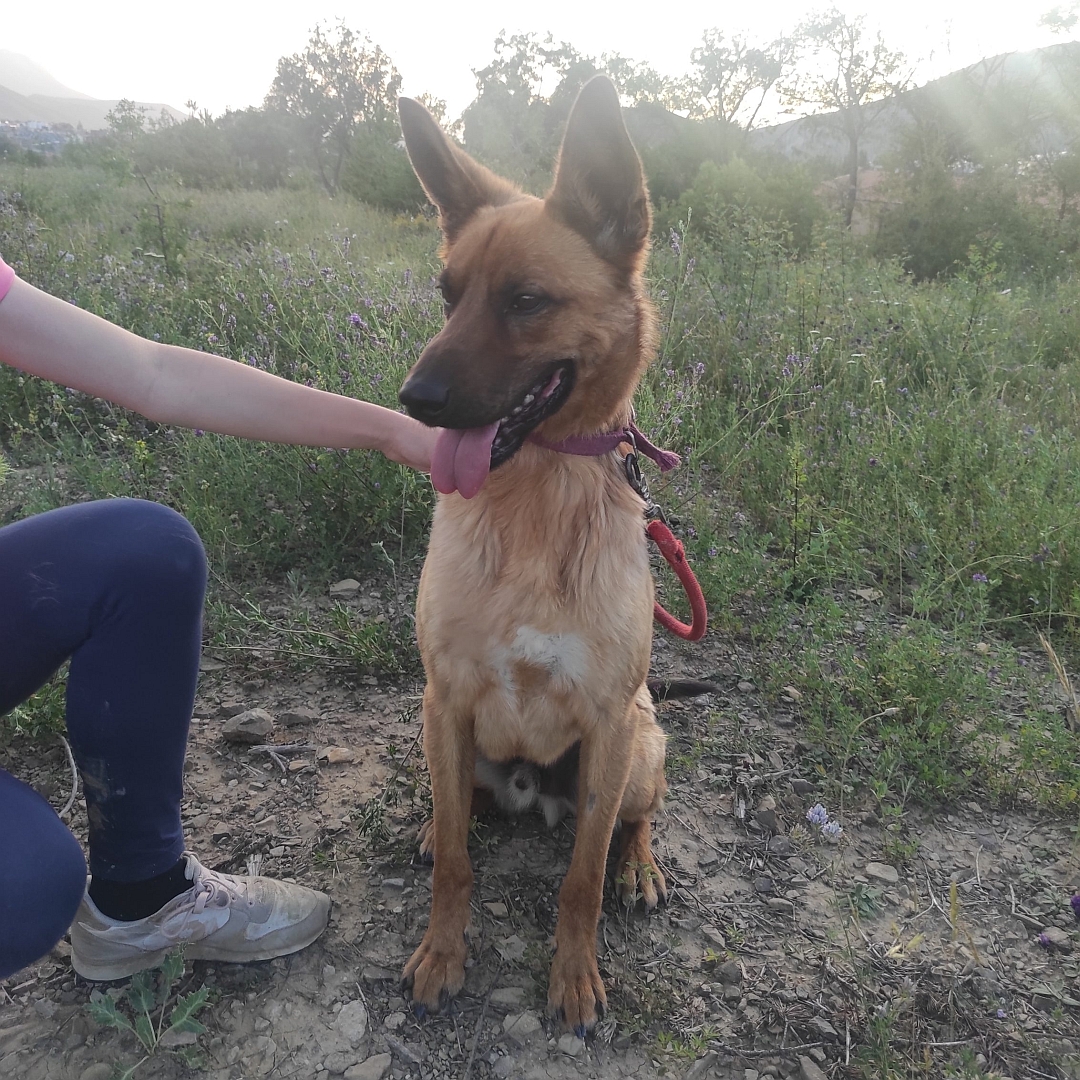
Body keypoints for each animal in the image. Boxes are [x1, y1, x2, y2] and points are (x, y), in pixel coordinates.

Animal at [397, 76, 665, 1036]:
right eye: (448, 295)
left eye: (525, 300)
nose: (414, 399)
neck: (536, 501)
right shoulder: (444, 697)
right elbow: (455, 864)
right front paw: (442, 956)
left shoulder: (610, 721)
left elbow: (578, 882)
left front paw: (575, 977)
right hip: (439, 733)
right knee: (456, 813)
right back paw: (432, 823)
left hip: (642, 751)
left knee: (627, 825)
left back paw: (641, 865)